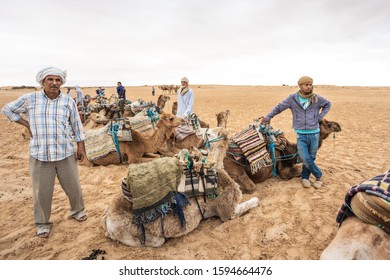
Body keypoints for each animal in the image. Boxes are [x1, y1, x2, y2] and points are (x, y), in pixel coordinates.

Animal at [101, 133, 258, 247]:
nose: (226, 136)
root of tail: (107, 219)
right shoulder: (227, 212)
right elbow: (250, 202)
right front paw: (256, 199)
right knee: (157, 241)